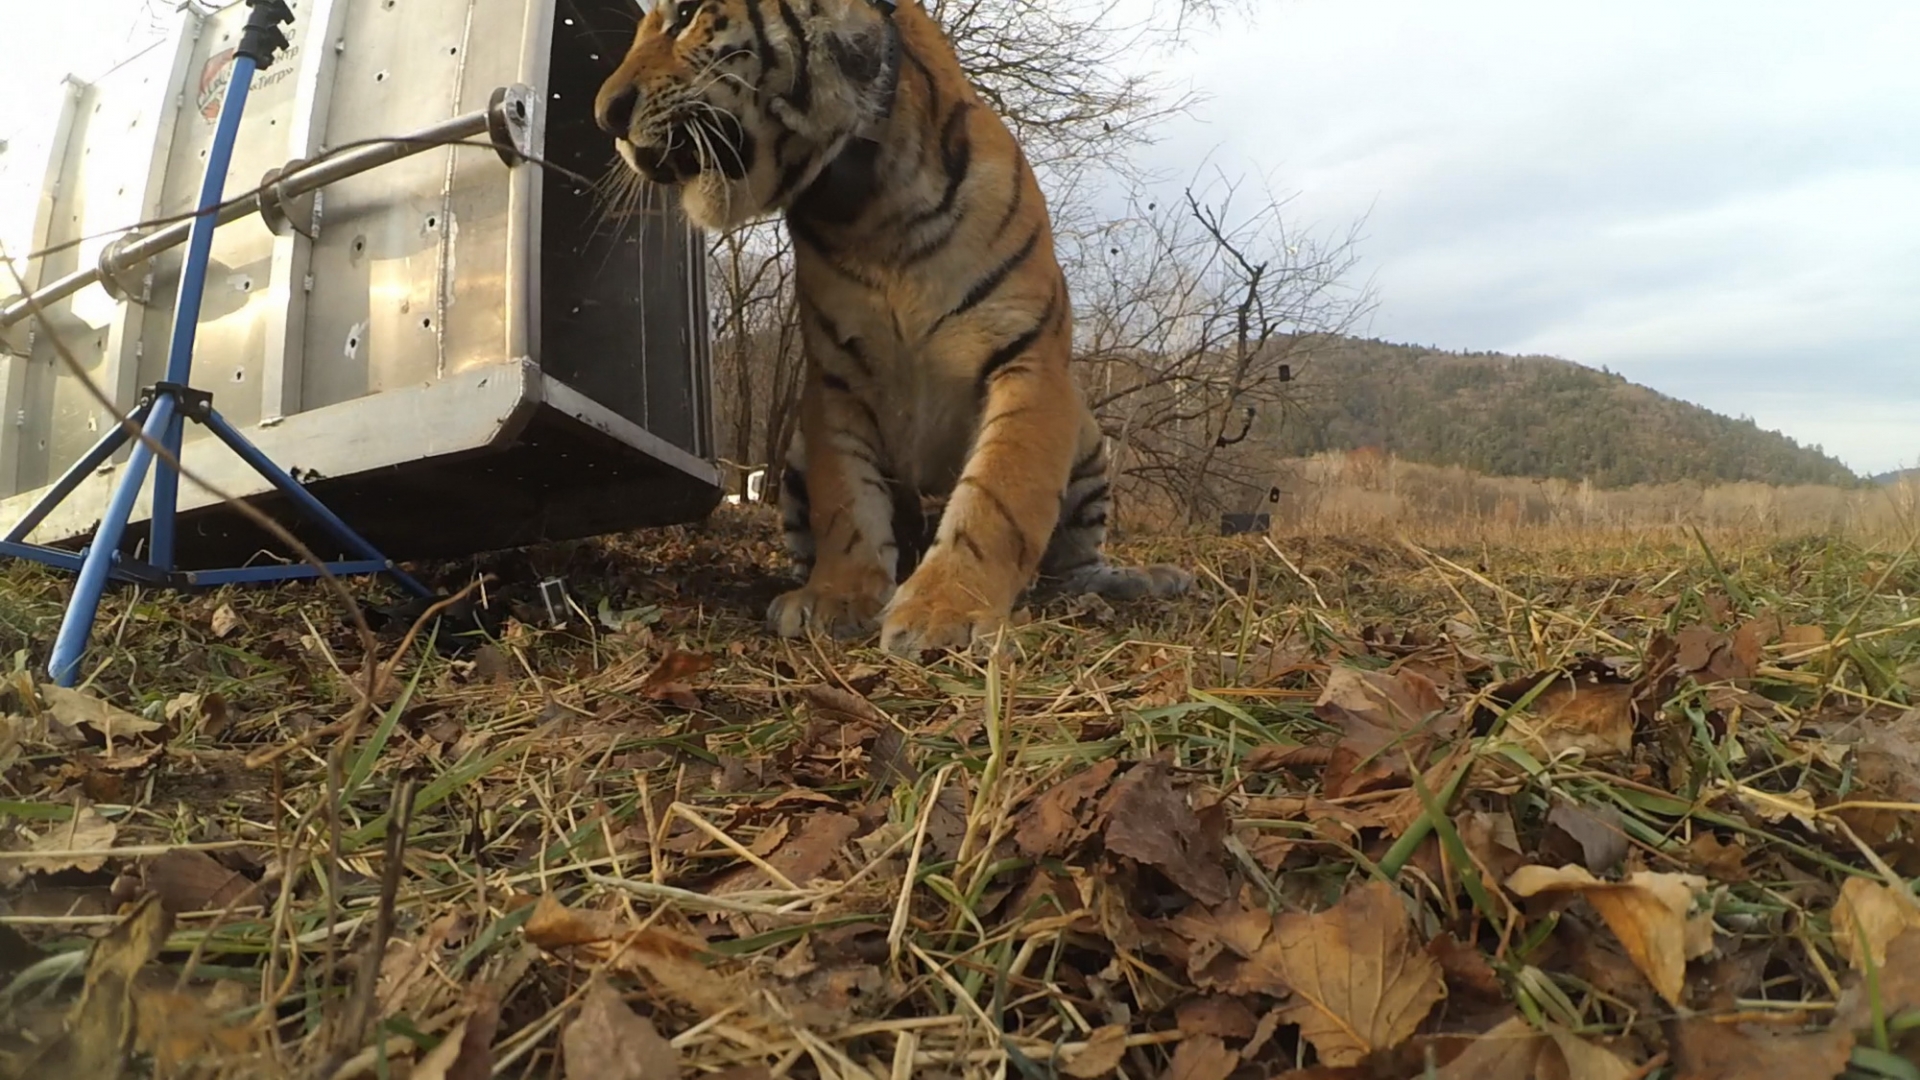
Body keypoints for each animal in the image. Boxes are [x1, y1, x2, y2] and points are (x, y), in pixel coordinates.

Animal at [591, 0, 1190, 653]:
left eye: (683, 16)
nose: (605, 116)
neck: (872, 211)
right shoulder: (836, 377)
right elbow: (846, 501)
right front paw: (834, 597)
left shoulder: (1027, 357)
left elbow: (998, 494)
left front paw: (947, 610)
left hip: (1086, 442)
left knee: (1073, 568)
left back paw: (1143, 580)